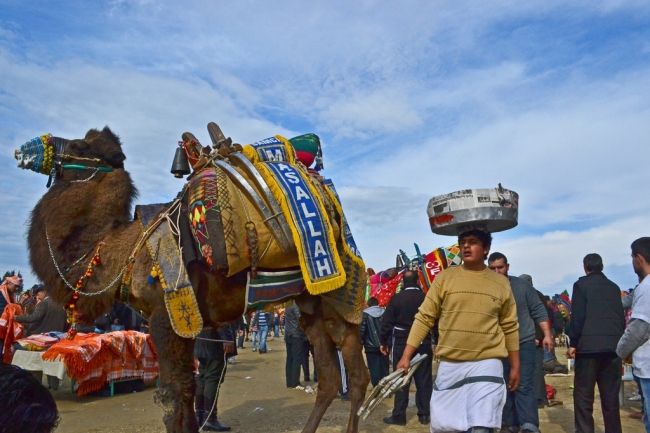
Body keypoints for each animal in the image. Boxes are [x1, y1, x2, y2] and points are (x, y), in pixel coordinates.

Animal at [15, 126, 368, 430]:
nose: (25, 148)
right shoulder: (182, 323)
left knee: (354, 375)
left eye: (78, 146)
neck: (118, 250)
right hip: (310, 302)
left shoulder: (167, 317)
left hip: (333, 293)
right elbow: (187, 391)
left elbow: (174, 396)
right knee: (334, 377)